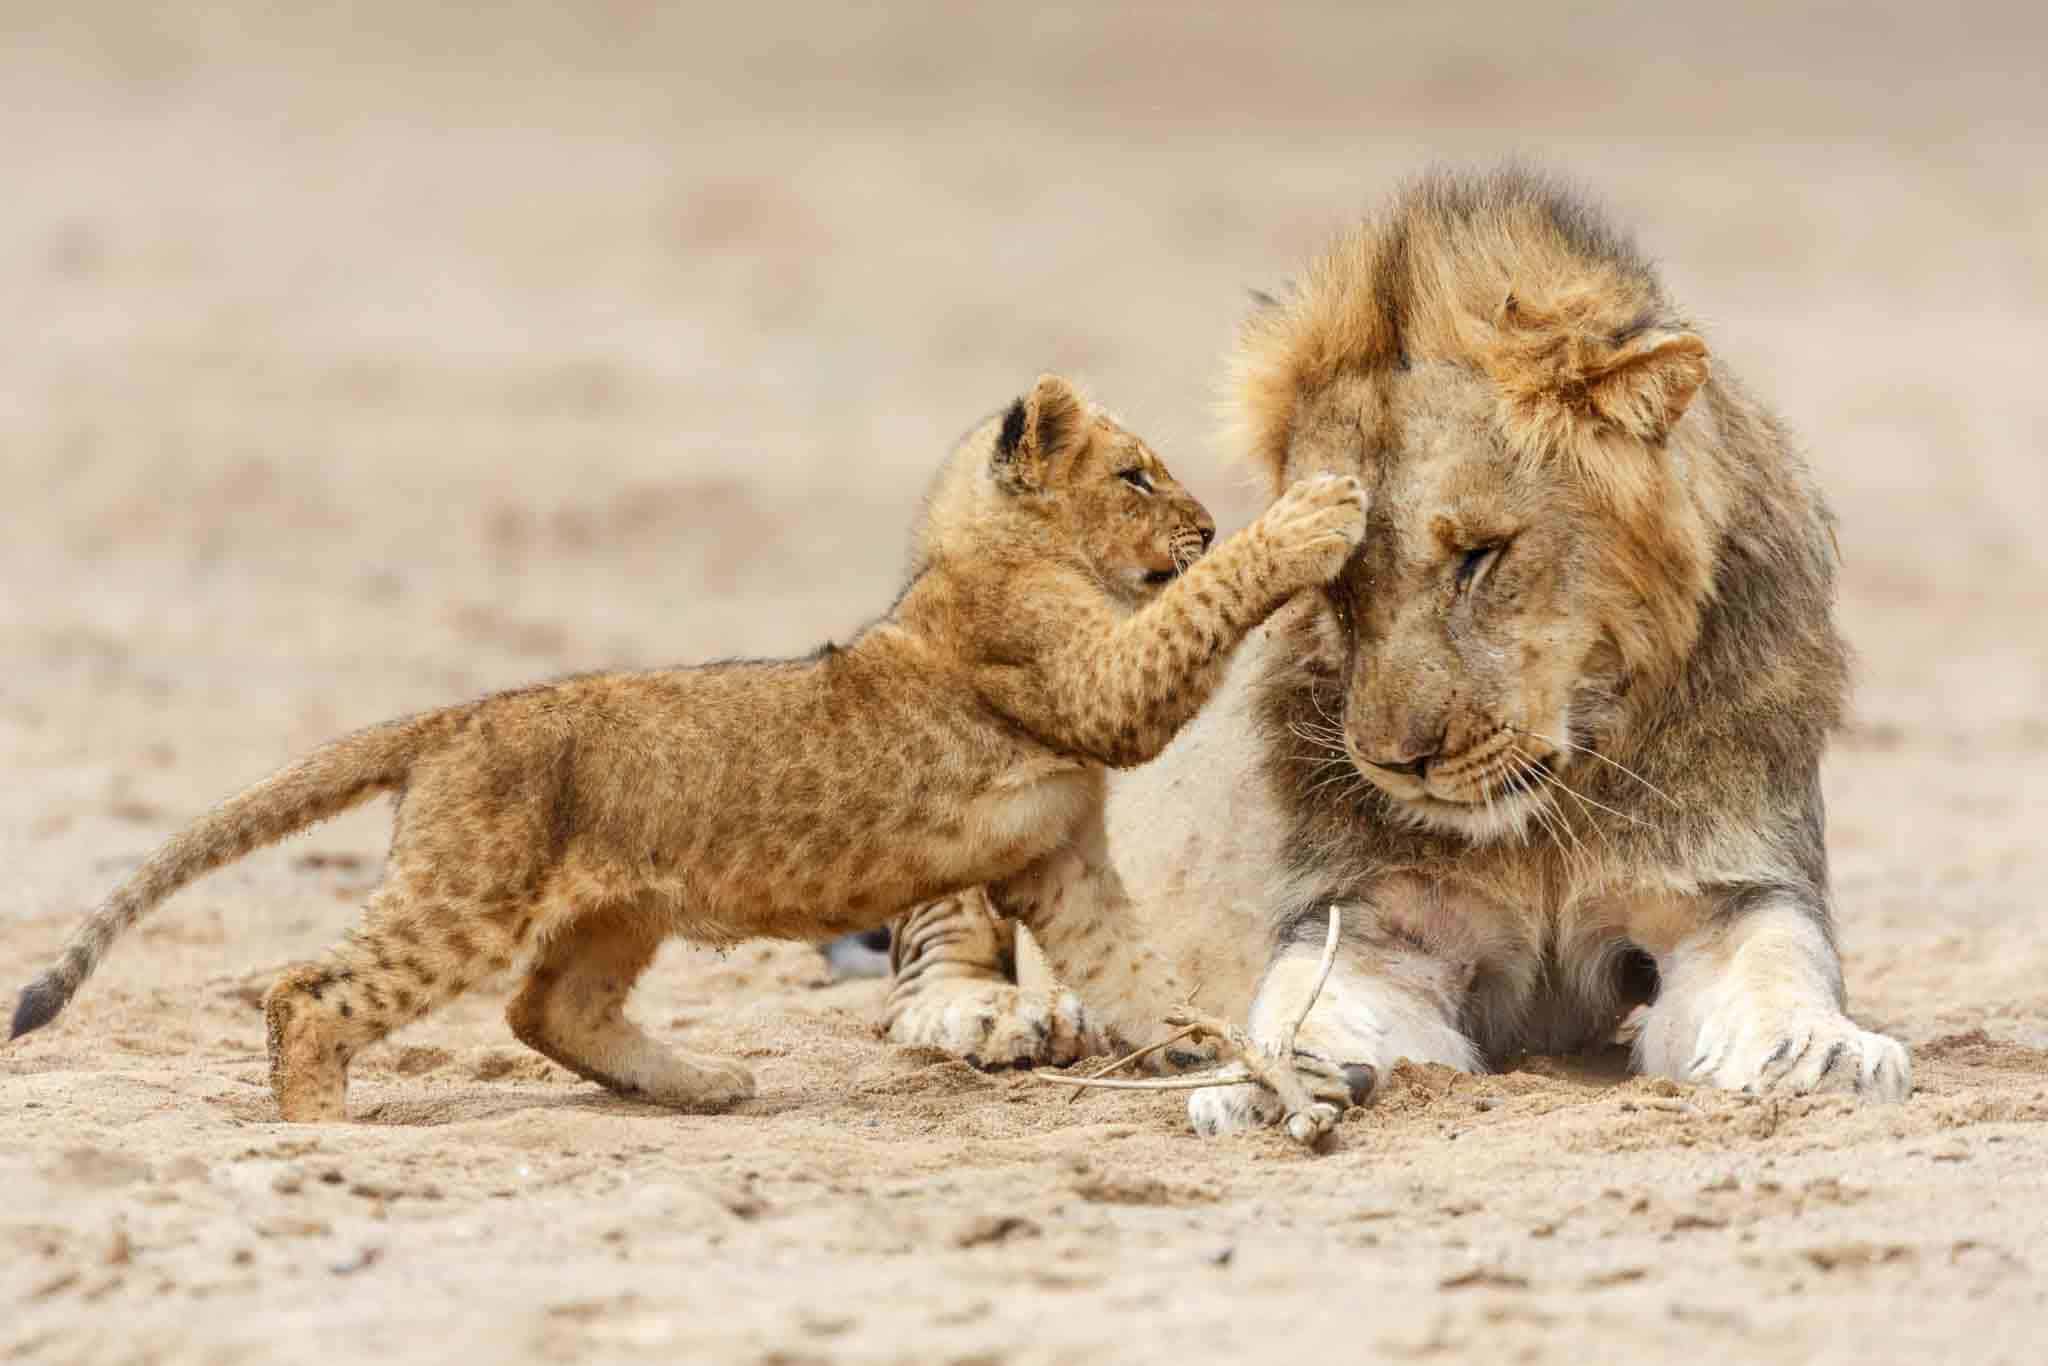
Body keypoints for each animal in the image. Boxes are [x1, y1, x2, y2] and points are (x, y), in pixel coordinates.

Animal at [8, 373, 1369, 1122]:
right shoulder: (1088, 686)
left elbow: (1131, 968)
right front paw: (1315, 513)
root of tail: (458, 714)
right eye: (1136, 475)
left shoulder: (1059, 859)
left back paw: (705, 1083)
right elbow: (1189, 623)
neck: (975, 557)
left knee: (546, 1009)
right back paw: (318, 1127)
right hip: (465, 894)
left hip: (613, 909)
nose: (1202, 524)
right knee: (310, 993)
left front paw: (1204, 1048)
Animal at [883, 167, 1910, 1134]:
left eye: (1479, 556)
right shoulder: (1374, 923)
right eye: (1334, 581)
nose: (1396, 765)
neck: (1547, 812)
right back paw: (1003, 1016)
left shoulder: (1727, 891)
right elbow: (1308, 1000)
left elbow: (1778, 967)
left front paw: (1822, 1055)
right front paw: (1268, 1075)